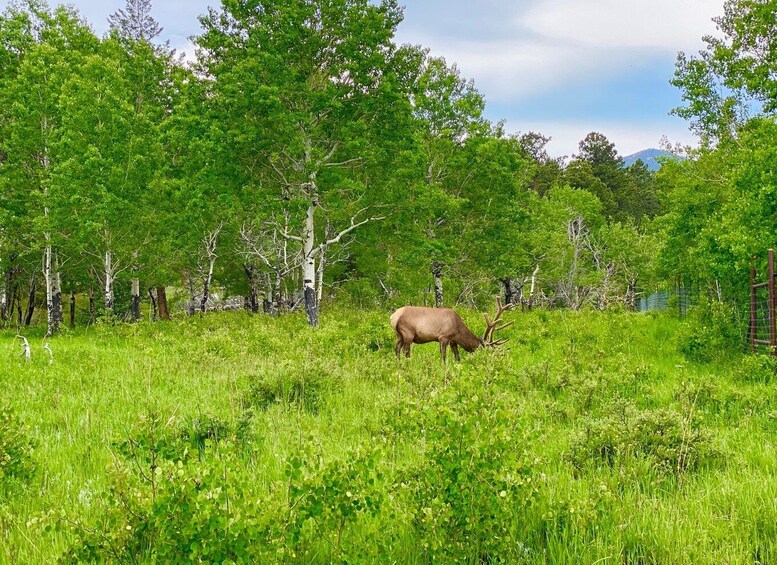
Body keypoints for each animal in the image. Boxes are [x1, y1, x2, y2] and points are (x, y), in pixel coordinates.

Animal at [388, 300, 516, 362]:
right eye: (484, 350)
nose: (487, 360)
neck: (458, 330)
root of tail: (393, 317)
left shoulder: (453, 341)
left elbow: (457, 356)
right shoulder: (443, 337)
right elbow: (444, 355)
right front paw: (443, 366)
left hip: (399, 335)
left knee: (396, 348)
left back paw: (399, 363)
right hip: (407, 333)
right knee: (406, 351)